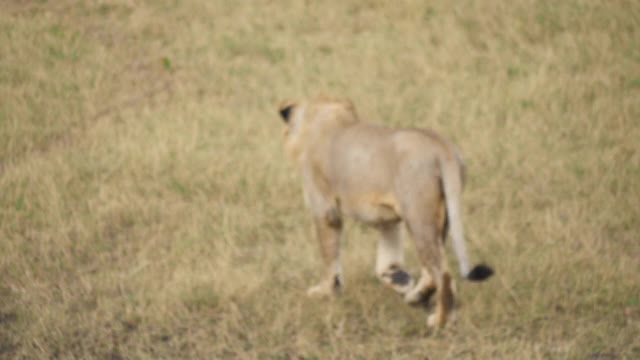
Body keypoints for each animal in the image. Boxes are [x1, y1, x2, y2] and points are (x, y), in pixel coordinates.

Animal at [278, 97, 492, 328]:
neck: (329, 119)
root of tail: (441, 148)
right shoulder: (388, 219)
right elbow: (386, 261)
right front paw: (400, 280)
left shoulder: (325, 209)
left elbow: (329, 255)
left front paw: (325, 290)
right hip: (438, 218)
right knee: (433, 269)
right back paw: (420, 299)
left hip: (418, 215)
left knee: (442, 274)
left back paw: (438, 321)